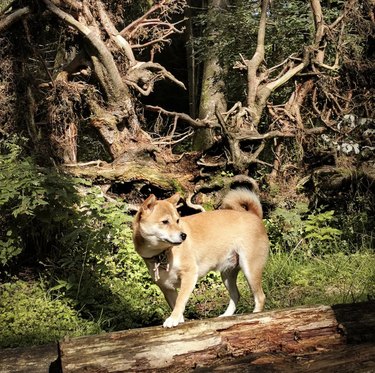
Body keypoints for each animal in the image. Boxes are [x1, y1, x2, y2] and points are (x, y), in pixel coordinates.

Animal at [134, 187, 268, 326]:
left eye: (177, 220)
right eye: (165, 222)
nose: (184, 235)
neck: (162, 254)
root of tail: (253, 215)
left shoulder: (189, 275)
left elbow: (180, 302)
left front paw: (172, 319)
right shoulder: (167, 288)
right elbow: (176, 306)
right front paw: (178, 321)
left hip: (250, 269)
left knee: (260, 297)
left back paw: (255, 315)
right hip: (227, 274)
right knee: (236, 295)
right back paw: (226, 316)